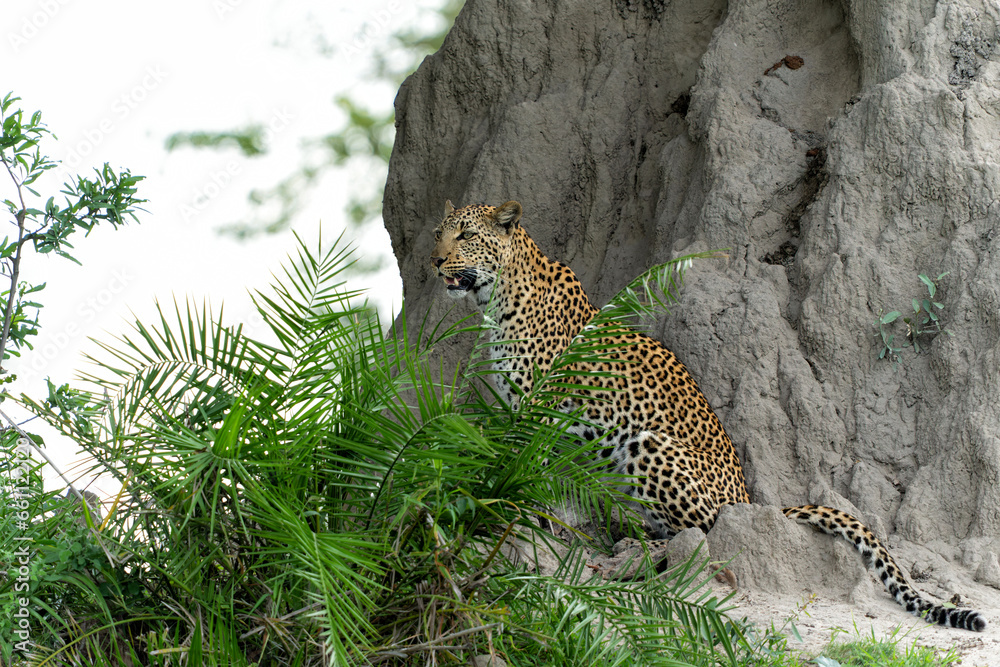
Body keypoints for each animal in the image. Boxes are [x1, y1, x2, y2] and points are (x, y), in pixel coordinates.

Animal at [429, 199, 987, 632]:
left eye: (467, 235)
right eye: (440, 232)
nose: (434, 263)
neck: (496, 297)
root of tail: (750, 500)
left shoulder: (540, 409)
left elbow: (527, 468)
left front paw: (513, 513)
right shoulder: (514, 406)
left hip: (647, 444)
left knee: (703, 532)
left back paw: (635, 553)